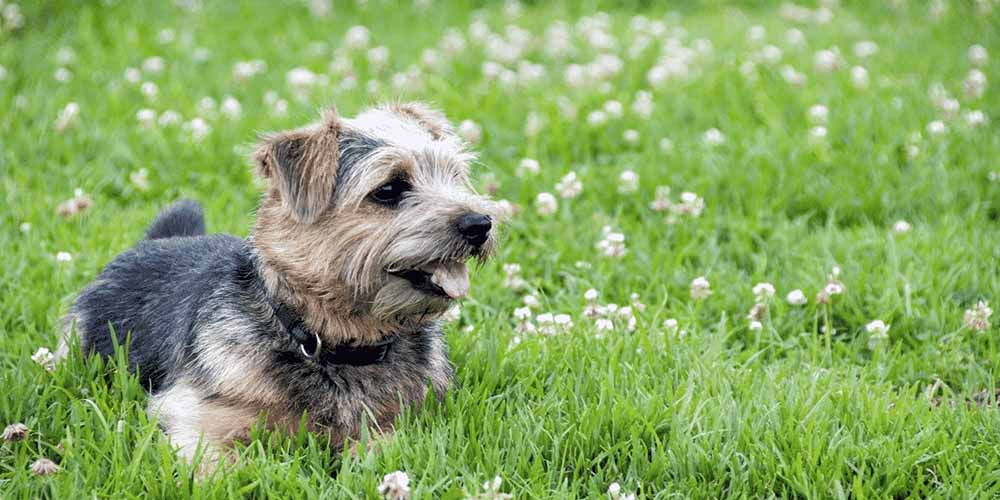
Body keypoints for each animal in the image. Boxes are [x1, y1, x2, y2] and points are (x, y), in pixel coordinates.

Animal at [60, 101, 500, 468]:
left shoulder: (405, 421)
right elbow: (218, 467)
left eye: (455, 177)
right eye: (389, 188)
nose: (481, 223)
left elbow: (387, 450)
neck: (332, 340)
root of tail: (157, 240)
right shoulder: (192, 415)